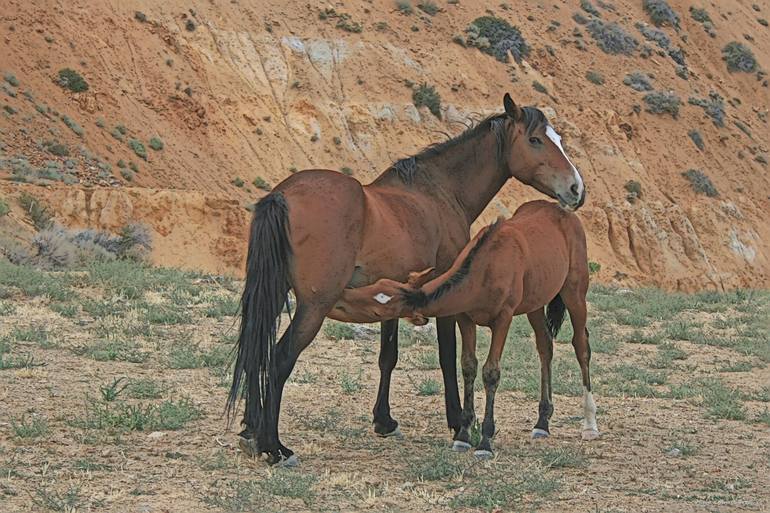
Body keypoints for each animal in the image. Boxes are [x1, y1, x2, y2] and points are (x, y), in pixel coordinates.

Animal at [344, 199, 596, 456]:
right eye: (378, 284)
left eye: (379, 310)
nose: (345, 294)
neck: (486, 266)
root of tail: (563, 212)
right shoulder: (465, 319)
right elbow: (468, 366)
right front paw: (464, 435)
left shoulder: (503, 319)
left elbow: (491, 372)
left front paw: (485, 440)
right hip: (535, 303)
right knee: (545, 345)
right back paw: (542, 422)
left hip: (575, 292)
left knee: (581, 345)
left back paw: (589, 424)